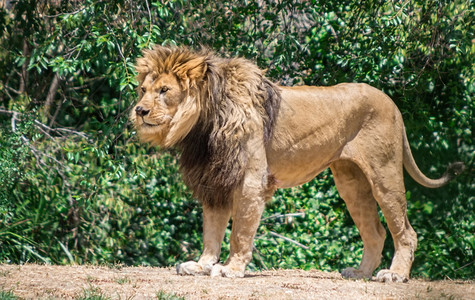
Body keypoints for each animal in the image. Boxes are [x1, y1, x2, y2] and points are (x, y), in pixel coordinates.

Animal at [130, 45, 464, 282]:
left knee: (405, 231)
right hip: (351, 183)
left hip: (384, 174)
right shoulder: (215, 180)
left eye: (164, 90)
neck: (203, 125)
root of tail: (392, 103)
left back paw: (394, 275)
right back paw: (360, 273)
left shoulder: (250, 180)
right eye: (143, 90)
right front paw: (201, 265)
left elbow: (240, 232)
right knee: (376, 231)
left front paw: (230, 268)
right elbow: (211, 231)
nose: (139, 110)